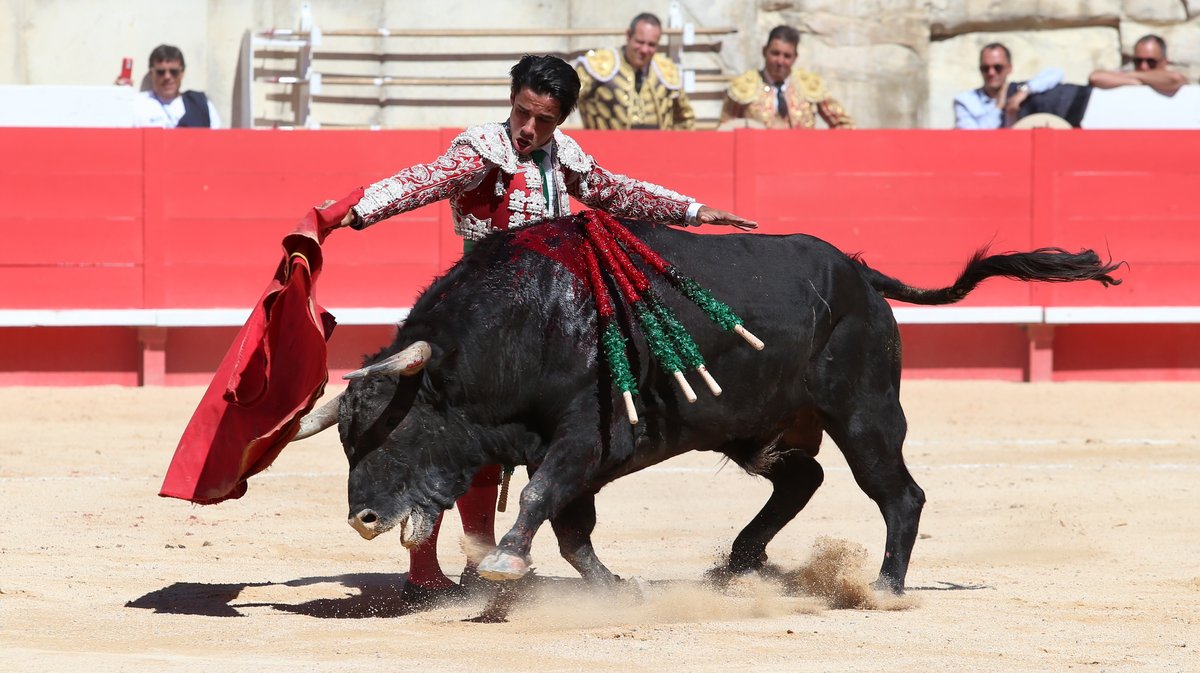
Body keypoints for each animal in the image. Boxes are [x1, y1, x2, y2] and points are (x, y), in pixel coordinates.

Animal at [302, 218, 1123, 590]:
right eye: (345, 439)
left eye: (394, 429)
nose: (361, 517)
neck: (522, 324)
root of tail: (859, 273)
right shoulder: (574, 456)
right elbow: (571, 528)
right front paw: (615, 590)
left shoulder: (581, 438)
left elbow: (542, 500)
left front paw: (505, 561)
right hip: (758, 424)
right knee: (802, 479)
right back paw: (736, 563)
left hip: (865, 413)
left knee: (900, 492)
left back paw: (884, 585)